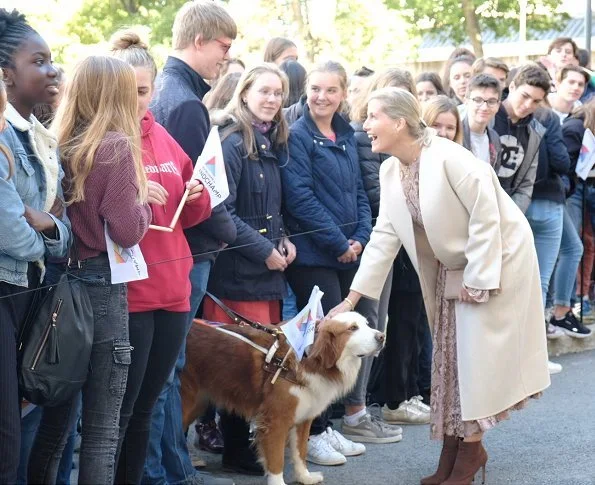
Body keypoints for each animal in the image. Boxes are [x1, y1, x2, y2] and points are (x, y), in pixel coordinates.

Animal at [182, 312, 384, 482]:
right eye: (352, 328)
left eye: (367, 324)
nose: (382, 336)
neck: (308, 359)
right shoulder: (276, 421)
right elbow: (276, 460)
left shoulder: (303, 418)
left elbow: (300, 452)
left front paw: (305, 477)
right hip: (187, 401)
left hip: (197, 403)